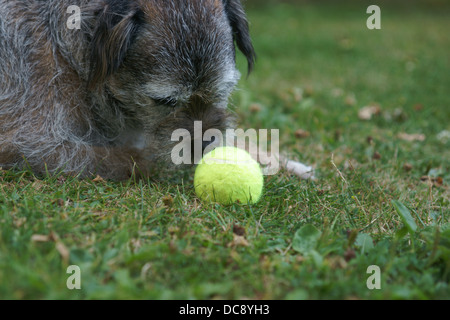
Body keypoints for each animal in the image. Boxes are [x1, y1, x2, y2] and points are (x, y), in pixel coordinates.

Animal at [0, 0, 312, 180]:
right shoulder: (29, 145)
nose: (202, 144)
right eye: (165, 100)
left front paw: (282, 161)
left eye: (222, 90)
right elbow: (134, 157)